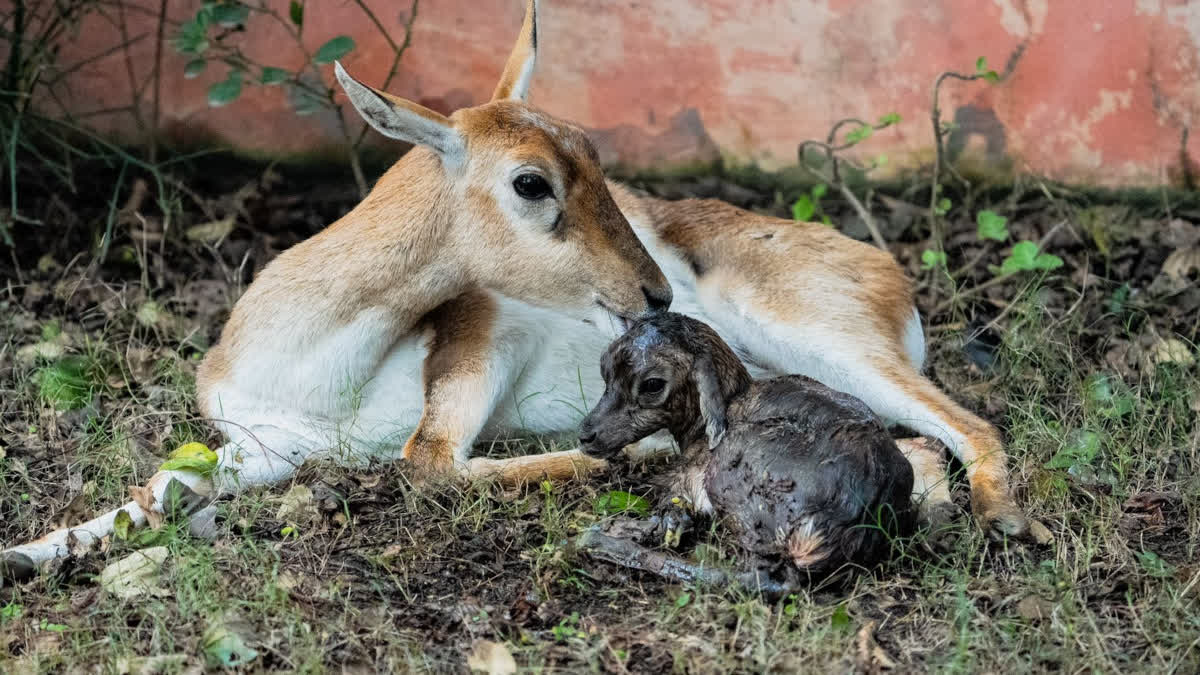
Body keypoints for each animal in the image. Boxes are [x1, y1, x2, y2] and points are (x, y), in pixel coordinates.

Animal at [580, 312, 916, 576]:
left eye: (652, 384)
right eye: (604, 368)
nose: (586, 435)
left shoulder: (685, 483)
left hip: (737, 496)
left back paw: (598, 540)